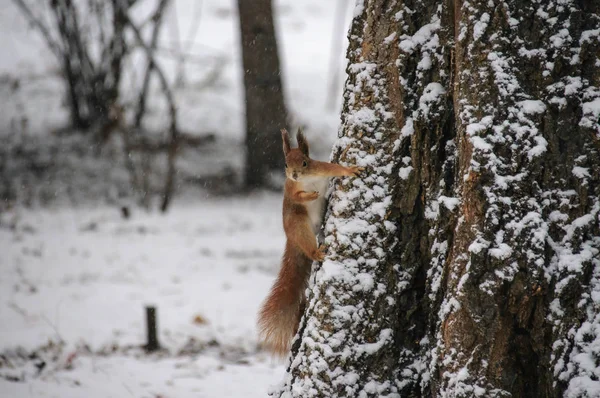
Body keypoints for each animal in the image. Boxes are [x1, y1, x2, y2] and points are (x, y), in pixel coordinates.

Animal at [258, 129, 360, 356]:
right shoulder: (291, 189)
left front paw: (349, 169)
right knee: (309, 246)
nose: (295, 174)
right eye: (286, 164)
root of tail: (292, 240)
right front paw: (311, 195)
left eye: (305, 162)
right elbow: (299, 197)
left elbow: (335, 168)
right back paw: (317, 253)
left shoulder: (322, 168)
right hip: (300, 226)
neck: (307, 179)